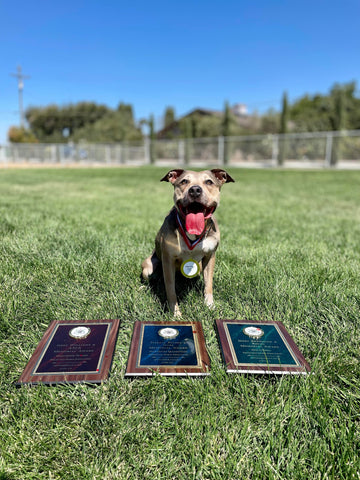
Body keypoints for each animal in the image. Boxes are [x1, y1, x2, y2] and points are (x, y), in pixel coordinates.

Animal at [142, 167, 235, 316]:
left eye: (209, 182)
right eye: (184, 181)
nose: (195, 190)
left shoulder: (210, 256)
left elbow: (208, 284)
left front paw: (210, 306)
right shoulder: (168, 259)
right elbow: (171, 290)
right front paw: (175, 314)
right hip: (148, 267)